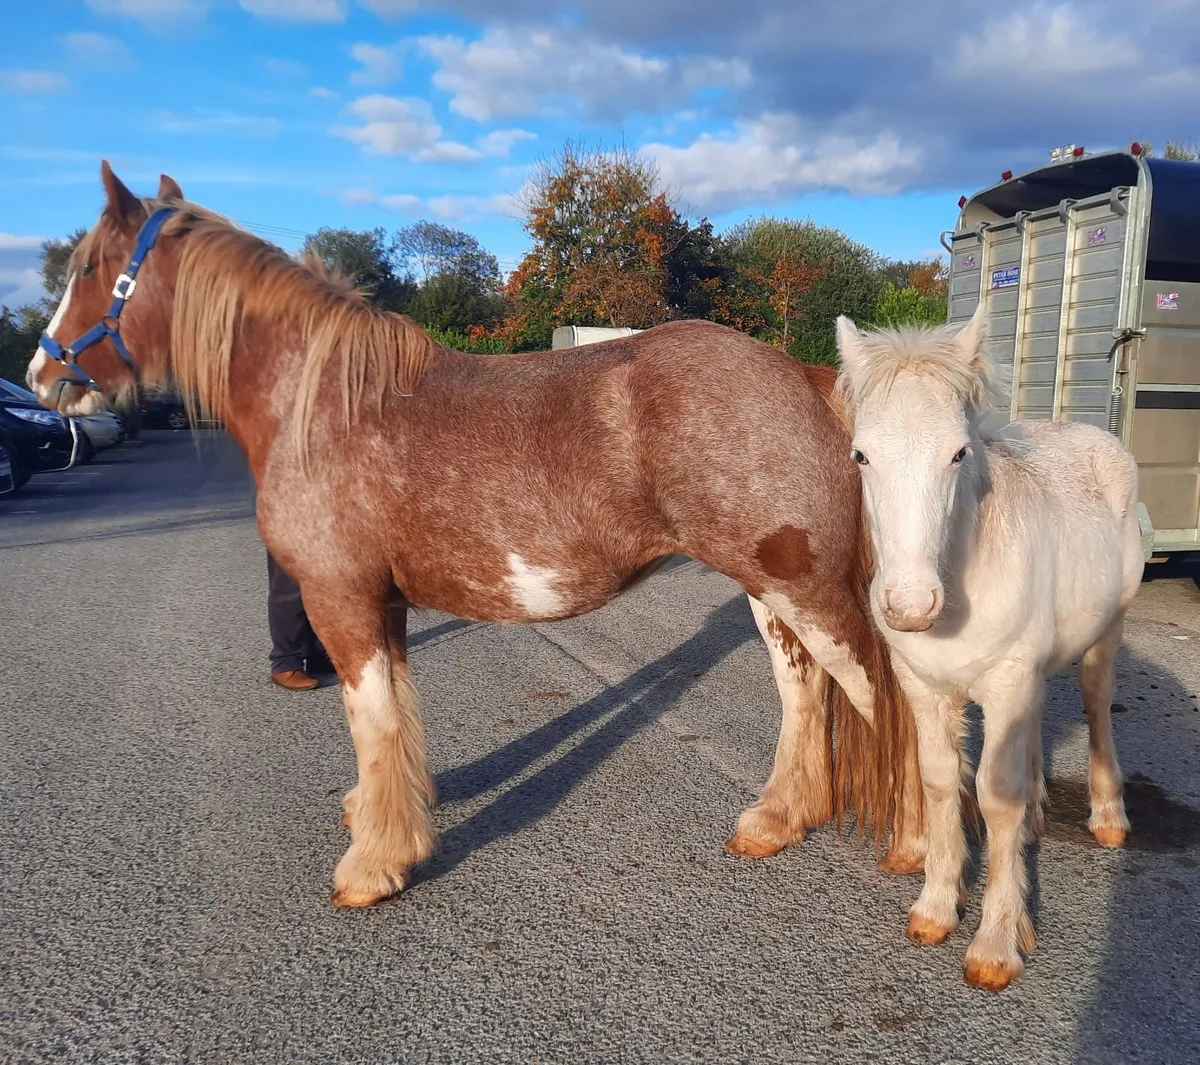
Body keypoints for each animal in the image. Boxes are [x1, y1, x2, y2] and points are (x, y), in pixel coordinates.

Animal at [26, 161, 923, 910]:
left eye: (88, 268)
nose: (41, 376)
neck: (325, 405)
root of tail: (803, 374)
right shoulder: (379, 602)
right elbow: (392, 718)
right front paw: (385, 821)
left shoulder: (340, 598)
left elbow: (371, 719)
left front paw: (371, 867)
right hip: (769, 590)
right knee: (803, 694)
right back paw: (774, 822)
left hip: (808, 590)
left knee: (885, 697)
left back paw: (917, 851)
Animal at [834, 307, 1142, 991]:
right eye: (861, 455)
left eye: (958, 452)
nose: (910, 605)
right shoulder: (925, 686)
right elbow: (941, 780)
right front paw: (935, 907)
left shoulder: (1006, 679)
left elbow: (996, 796)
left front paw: (997, 942)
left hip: (1107, 631)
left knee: (1096, 703)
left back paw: (1108, 816)